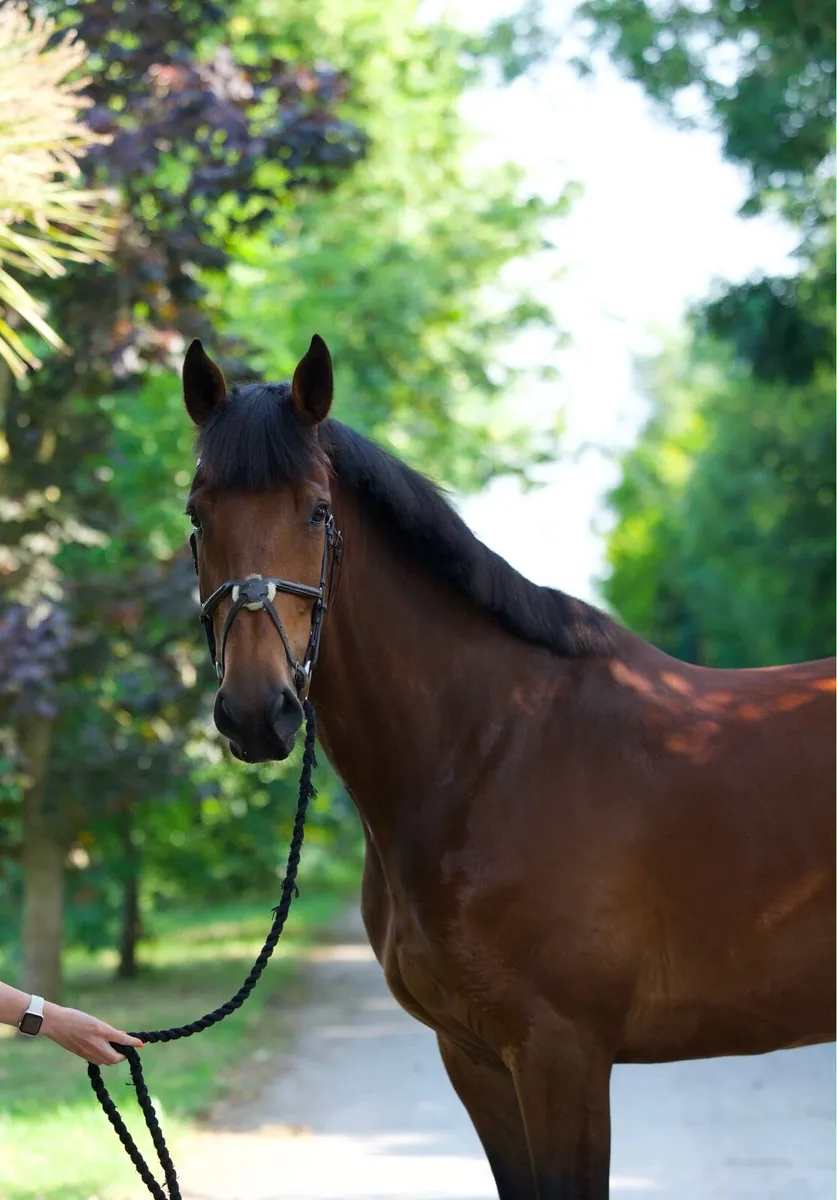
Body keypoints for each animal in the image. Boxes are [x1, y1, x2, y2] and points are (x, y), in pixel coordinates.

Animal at [181, 334, 836, 1199]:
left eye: (317, 510)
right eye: (197, 515)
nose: (258, 711)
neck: (488, 748)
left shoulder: (562, 1054)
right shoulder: (475, 1057)